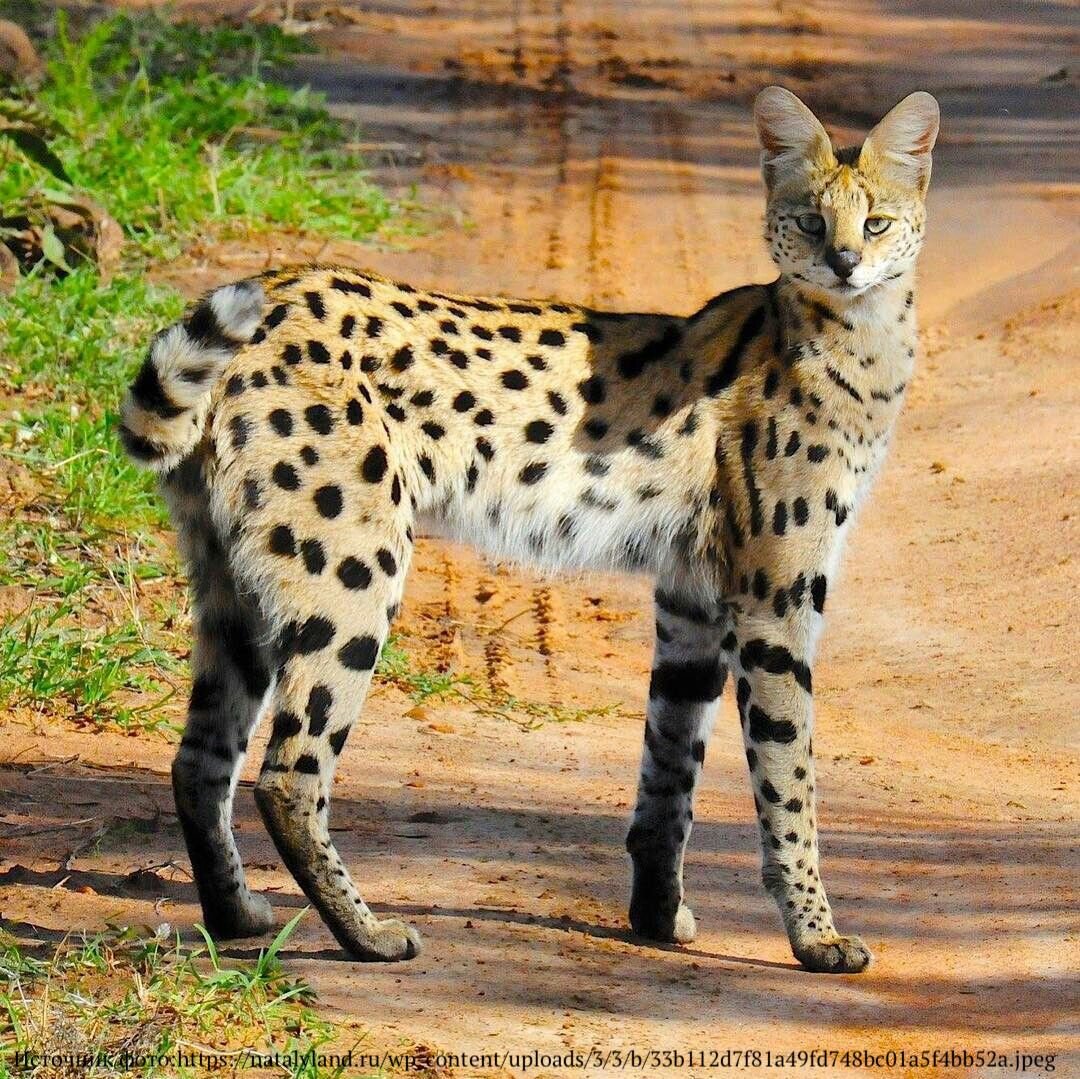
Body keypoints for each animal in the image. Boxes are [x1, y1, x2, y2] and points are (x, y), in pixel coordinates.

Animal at [120, 88, 937, 976]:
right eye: (811, 220)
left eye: (878, 222)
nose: (847, 262)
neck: (855, 339)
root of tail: (272, 289)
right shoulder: (775, 598)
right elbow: (789, 775)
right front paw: (815, 935)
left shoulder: (693, 599)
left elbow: (669, 771)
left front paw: (657, 916)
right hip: (354, 567)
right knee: (286, 774)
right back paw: (367, 935)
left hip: (234, 582)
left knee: (199, 760)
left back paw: (234, 913)